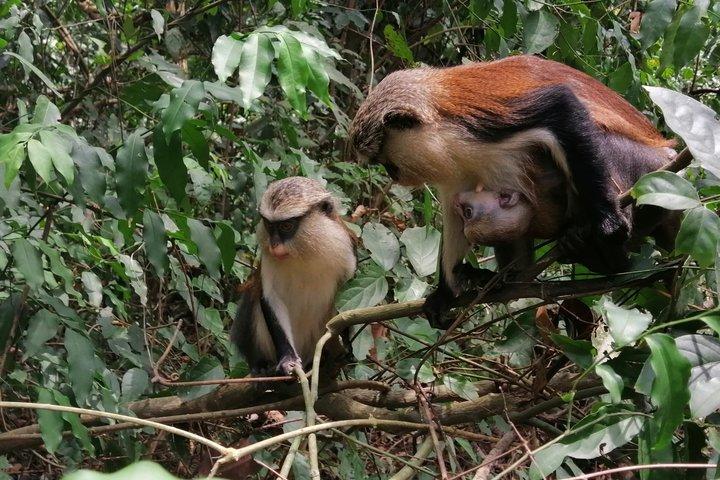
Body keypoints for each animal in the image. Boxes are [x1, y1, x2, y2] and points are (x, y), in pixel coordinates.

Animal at [231, 177, 357, 375]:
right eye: (269, 225)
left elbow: (345, 302)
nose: (274, 245)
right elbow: (269, 297)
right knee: (250, 301)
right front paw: (287, 359)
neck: (306, 252)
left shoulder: (346, 248)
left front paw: (346, 346)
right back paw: (261, 364)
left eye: (286, 226)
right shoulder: (268, 258)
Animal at [346, 55, 674, 326]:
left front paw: (608, 220)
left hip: (646, 169)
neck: (438, 109)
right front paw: (446, 293)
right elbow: (454, 208)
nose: (393, 174)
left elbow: (562, 107)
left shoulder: (480, 125)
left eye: (386, 161)